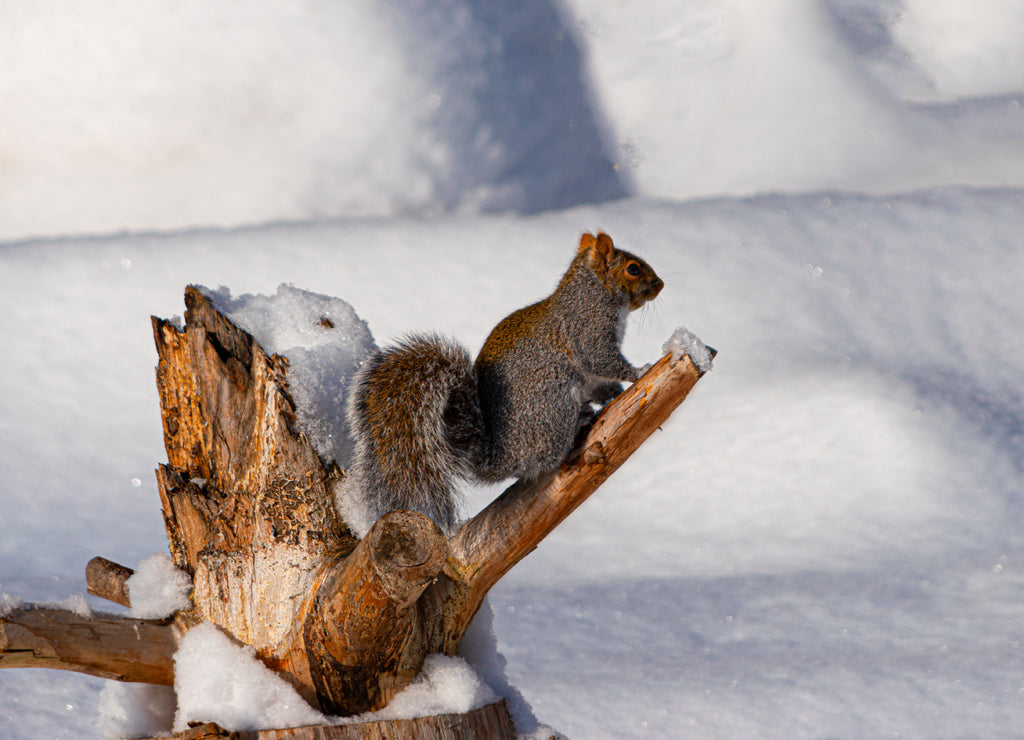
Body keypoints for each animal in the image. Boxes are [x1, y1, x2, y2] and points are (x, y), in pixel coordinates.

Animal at [345, 231, 664, 532]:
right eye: (633, 269)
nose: (660, 285)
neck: (593, 291)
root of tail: (499, 458)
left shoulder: (593, 372)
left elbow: (601, 382)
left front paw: (616, 392)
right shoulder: (588, 329)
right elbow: (602, 359)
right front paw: (639, 371)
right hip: (555, 401)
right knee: (544, 461)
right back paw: (578, 426)